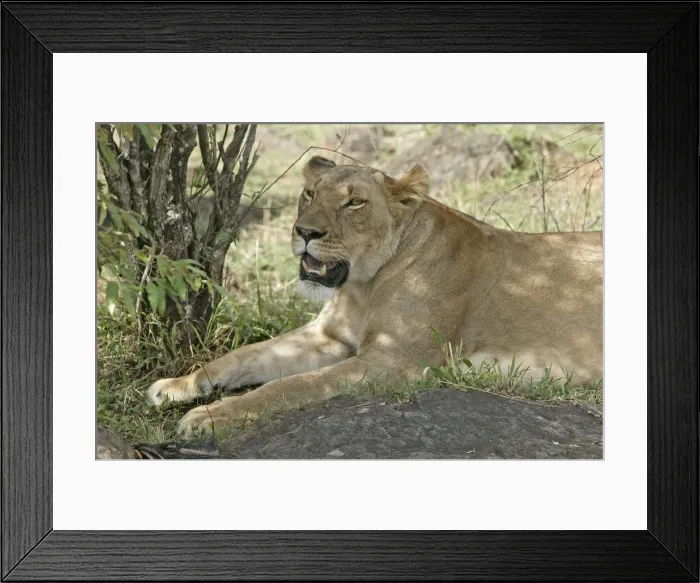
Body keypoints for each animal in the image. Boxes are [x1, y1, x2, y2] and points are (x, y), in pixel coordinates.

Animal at [147, 155, 603, 438]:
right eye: (310, 194)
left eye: (354, 202)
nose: (304, 232)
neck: (364, 285)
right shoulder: (327, 337)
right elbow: (241, 357)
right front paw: (177, 385)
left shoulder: (395, 360)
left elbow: (290, 386)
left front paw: (210, 415)